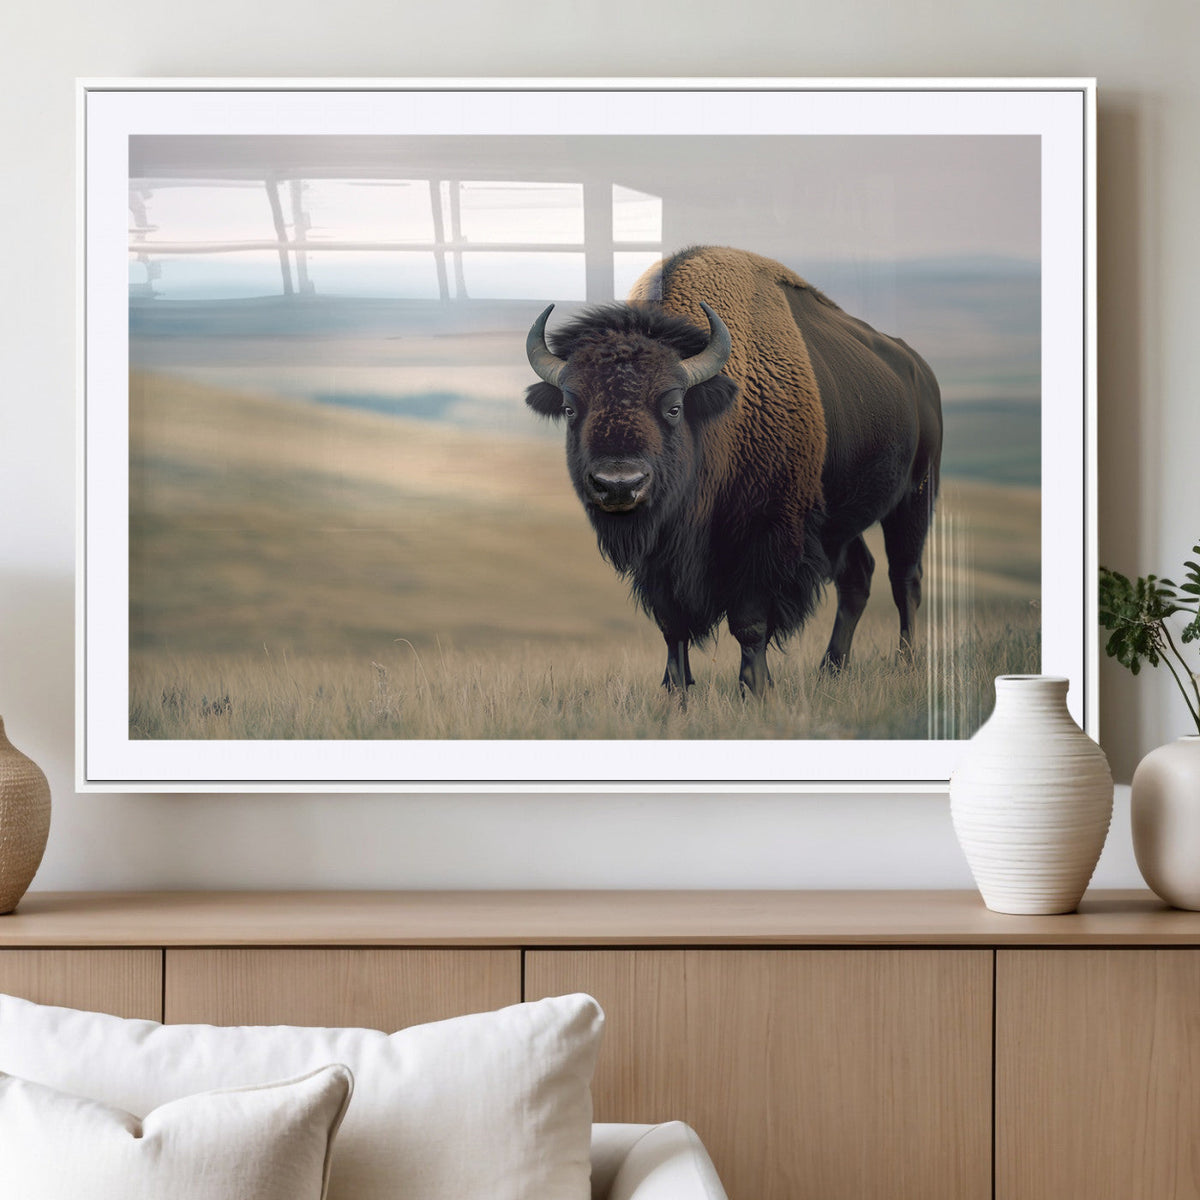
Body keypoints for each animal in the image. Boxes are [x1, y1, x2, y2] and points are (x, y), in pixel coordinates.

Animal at [524, 246, 942, 698]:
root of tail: (921, 371)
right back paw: (831, 668)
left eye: (674, 406)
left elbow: (750, 623)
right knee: (858, 579)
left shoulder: (765, 536)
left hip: (914, 499)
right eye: (570, 408)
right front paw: (675, 690)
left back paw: (905, 662)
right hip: (840, 524)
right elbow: (672, 625)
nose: (619, 485)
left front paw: (754, 689)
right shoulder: (661, 559)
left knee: (905, 579)